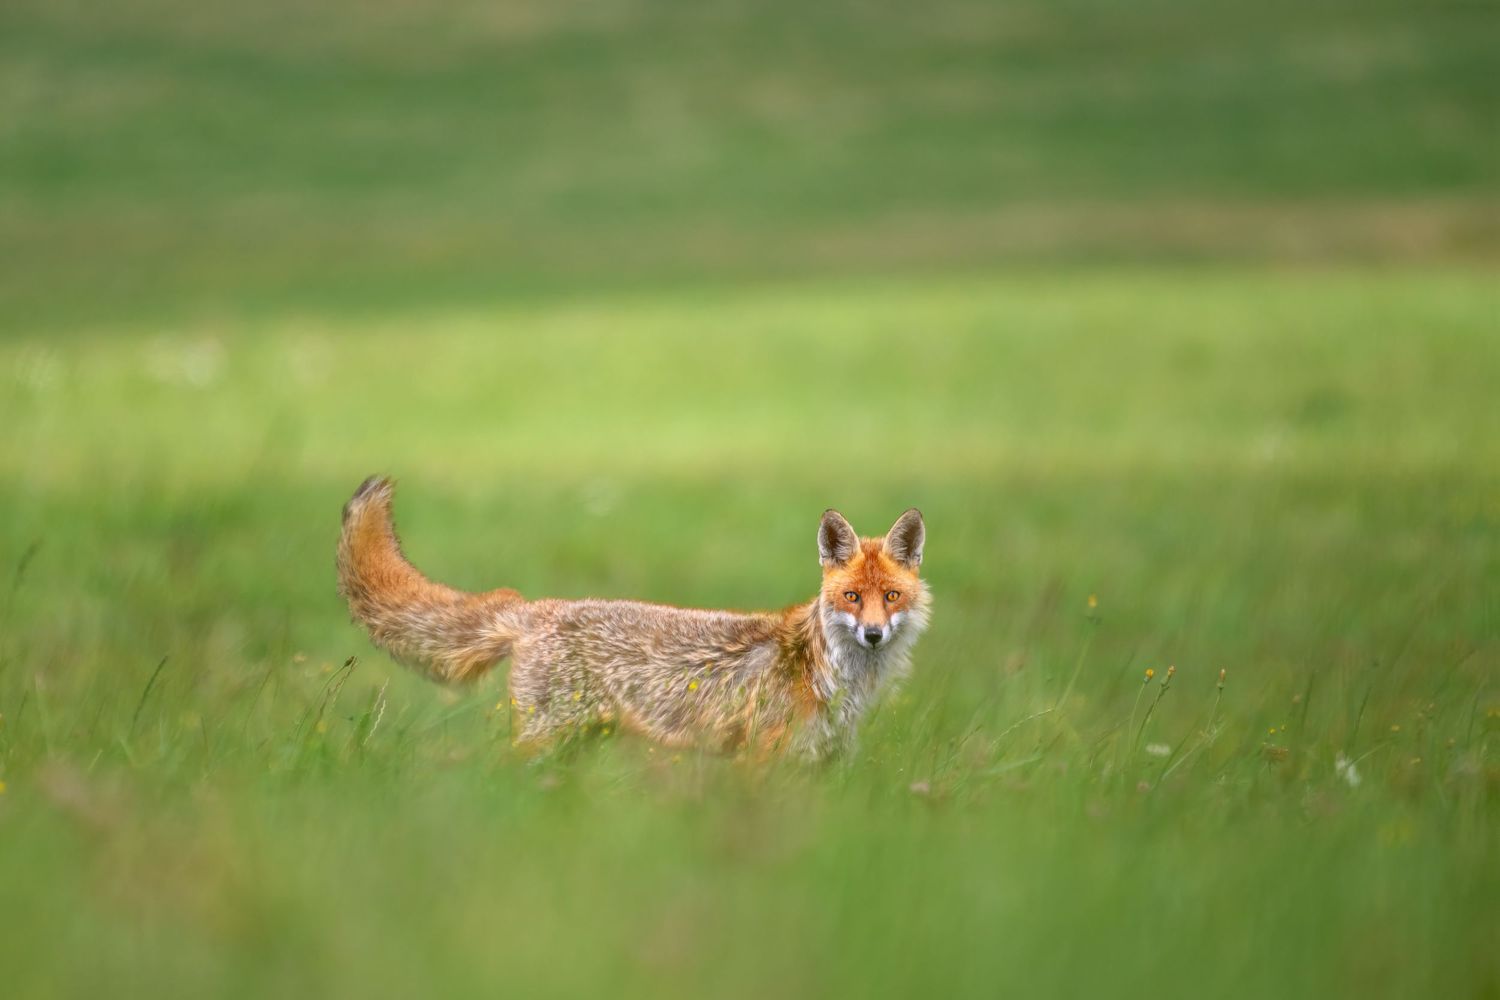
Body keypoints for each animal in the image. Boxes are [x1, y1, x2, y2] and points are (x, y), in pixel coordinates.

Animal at [336, 476, 930, 759]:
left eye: (890, 597)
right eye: (851, 597)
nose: (873, 634)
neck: (830, 677)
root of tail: (536, 608)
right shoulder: (761, 761)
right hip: (546, 740)